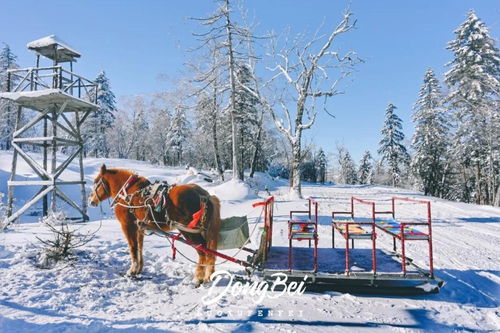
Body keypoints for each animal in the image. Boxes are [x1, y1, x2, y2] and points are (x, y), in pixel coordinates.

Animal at [88, 163, 221, 282]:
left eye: (96, 182)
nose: (90, 201)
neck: (127, 192)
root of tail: (204, 195)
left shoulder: (128, 225)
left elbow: (133, 247)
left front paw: (131, 271)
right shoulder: (139, 227)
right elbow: (140, 247)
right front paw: (138, 269)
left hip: (189, 231)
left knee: (203, 251)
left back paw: (198, 278)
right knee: (209, 252)